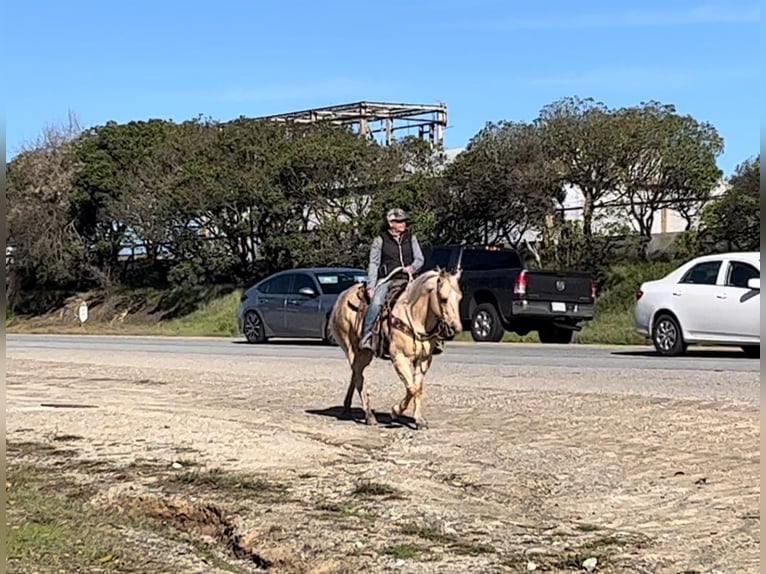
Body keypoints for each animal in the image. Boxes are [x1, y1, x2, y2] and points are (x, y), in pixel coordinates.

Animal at [328, 268, 462, 430]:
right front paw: (395, 411)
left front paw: (419, 420)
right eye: (443, 299)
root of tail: (341, 298)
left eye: (459, 298)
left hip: (364, 354)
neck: (414, 317)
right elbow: (412, 389)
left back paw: (347, 408)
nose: (455, 328)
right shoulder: (399, 359)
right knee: (359, 377)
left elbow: (417, 389)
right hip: (353, 350)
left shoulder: (423, 361)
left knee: (355, 375)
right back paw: (369, 416)